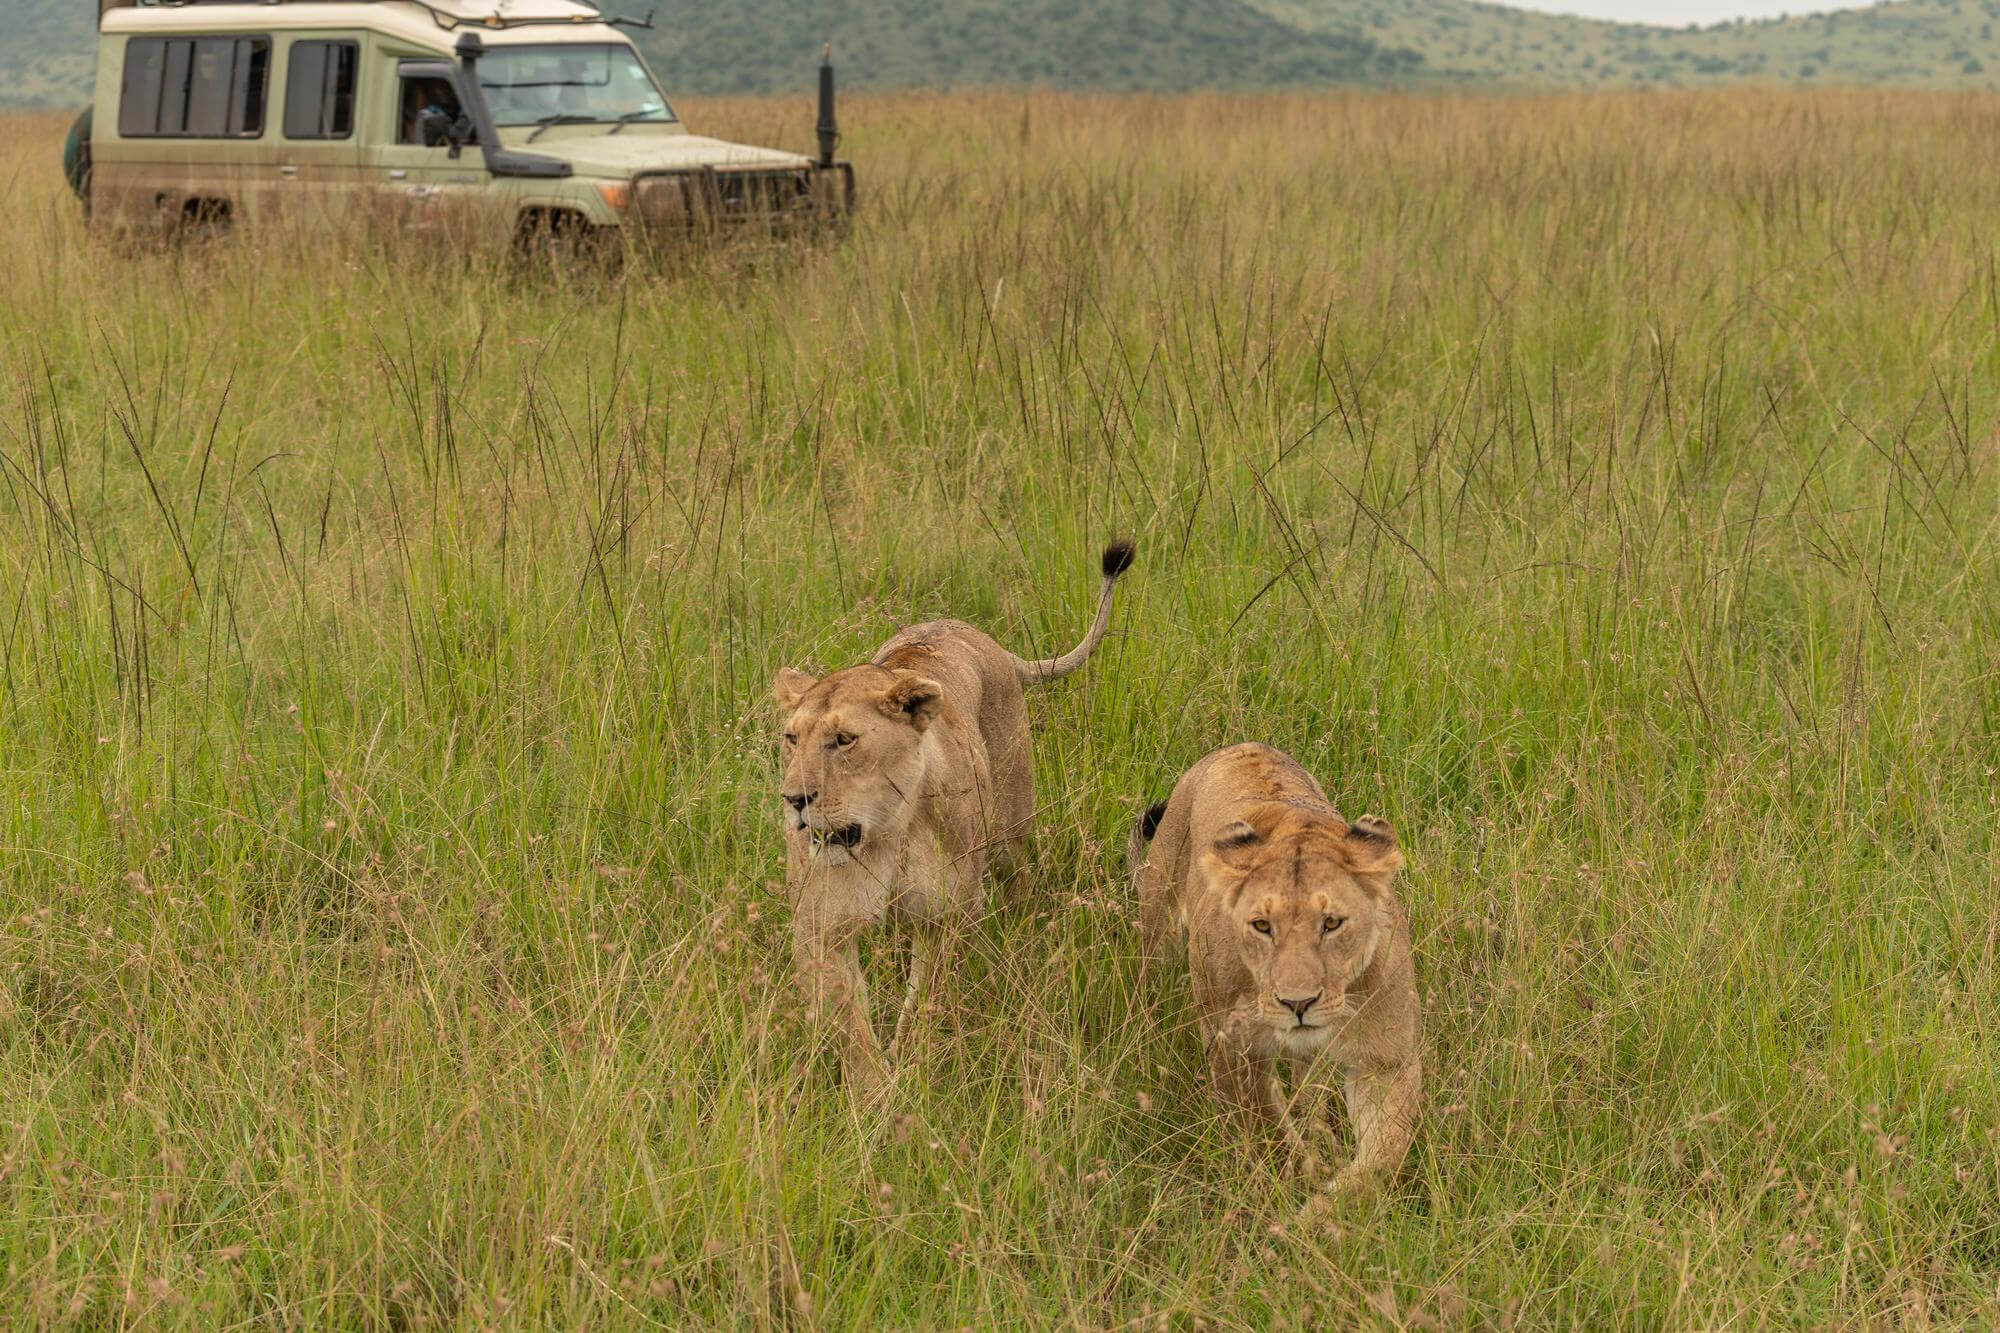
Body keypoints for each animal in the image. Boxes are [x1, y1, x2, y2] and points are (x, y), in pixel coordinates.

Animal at [774, 540, 1136, 1094]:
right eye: (792, 738)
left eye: (844, 740)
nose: (794, 798)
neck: (889, 832)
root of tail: (985, 639)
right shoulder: (821, 925)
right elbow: (850, 1023)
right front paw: (876, 1095)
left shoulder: (946, 917)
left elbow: (927, 1000)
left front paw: (913, 1066)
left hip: (1008, 832)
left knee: (1017, 881)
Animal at [1130, 742, 1421, 1206]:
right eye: (1262, 926)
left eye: (1332, 923)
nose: (1297, 1003)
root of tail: (1241, 745)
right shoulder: (1232, 1047)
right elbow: (1268, 1130)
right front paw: (1295, 1187)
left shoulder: (1385, 1059)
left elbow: (1382, 1156)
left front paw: (1328, 1206)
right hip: (1159, 922)